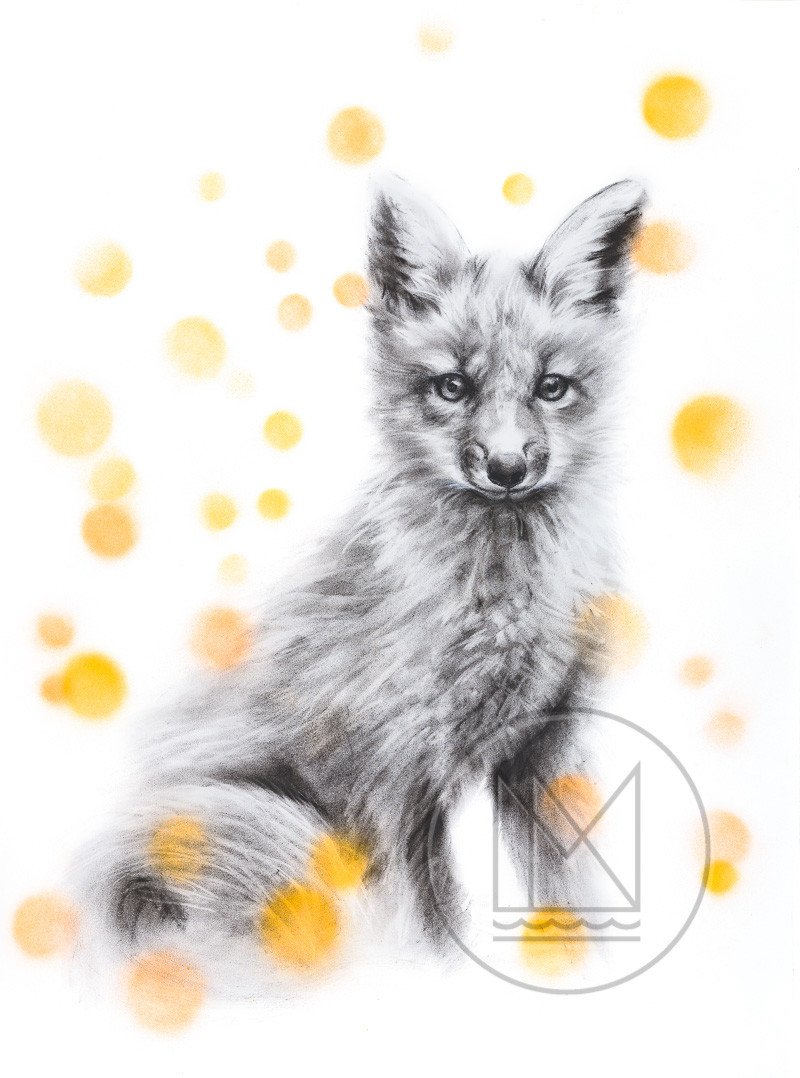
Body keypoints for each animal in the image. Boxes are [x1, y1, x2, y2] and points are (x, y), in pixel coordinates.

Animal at [74, 174, 646, 992]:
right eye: (452, 387)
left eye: (552, 387)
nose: (507, 468)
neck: (498, 606)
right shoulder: (395, 775)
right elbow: (432, 932)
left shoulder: (545, 748)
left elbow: (575, 899)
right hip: (284, 835)